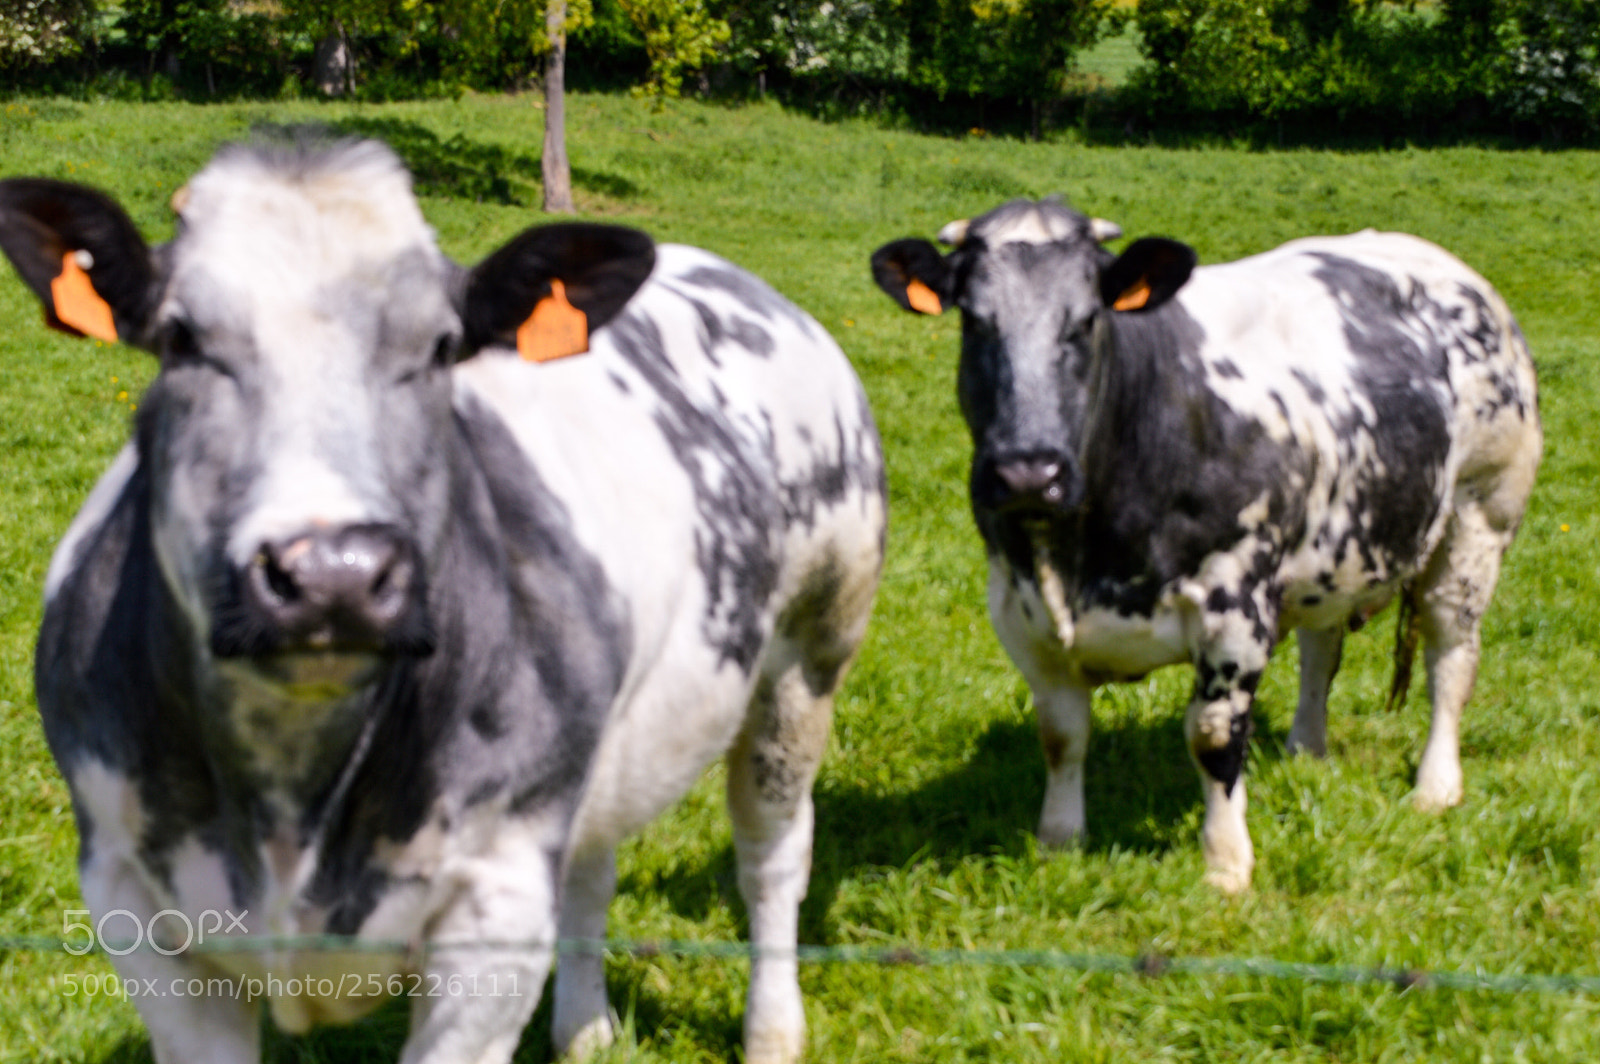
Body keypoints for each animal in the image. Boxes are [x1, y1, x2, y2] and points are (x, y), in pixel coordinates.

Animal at [0, 136, 886, 1064]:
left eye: (441, 346)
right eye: (180, 338)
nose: (335, 573)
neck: (291, 792)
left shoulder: (495, 906)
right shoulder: (128, 893)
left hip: (814, 651)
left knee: (771, 849)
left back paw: (772, 1029)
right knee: (592, 865)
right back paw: (583, 1029)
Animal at [871, 198, 1540, 893]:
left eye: (1088, 320)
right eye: (975, 321)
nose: (1029, 472)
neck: (1083, 555)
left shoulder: (1235, 604)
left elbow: (1213, 737)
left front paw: (1225, 864)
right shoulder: (1018, 607)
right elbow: (1061, 733)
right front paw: (1058, 843)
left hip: (1481, 515)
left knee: (1451, 654)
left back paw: (1436, 785)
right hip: (1332, 550)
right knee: (1321, 650)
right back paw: (1307, 749)